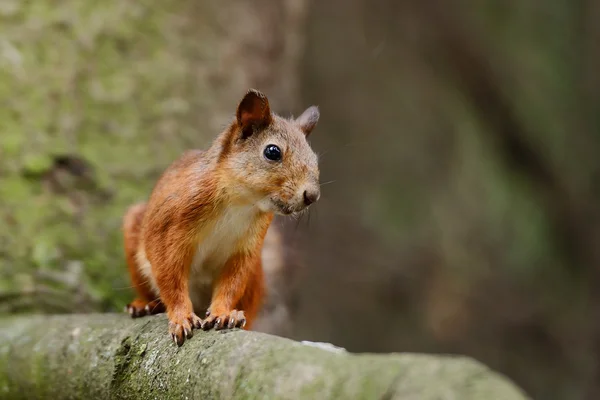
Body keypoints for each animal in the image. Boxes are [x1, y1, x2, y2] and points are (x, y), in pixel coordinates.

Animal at [119, 89, 322, 346]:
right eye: (272, 152)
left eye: (315, 158)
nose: (312, 195)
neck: (240, 201)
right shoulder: (170, 230)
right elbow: (170, 277)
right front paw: (181, 317)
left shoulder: (246, 250)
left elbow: (231, 283)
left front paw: (224, 314)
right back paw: (144, 305)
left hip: (255, 275)